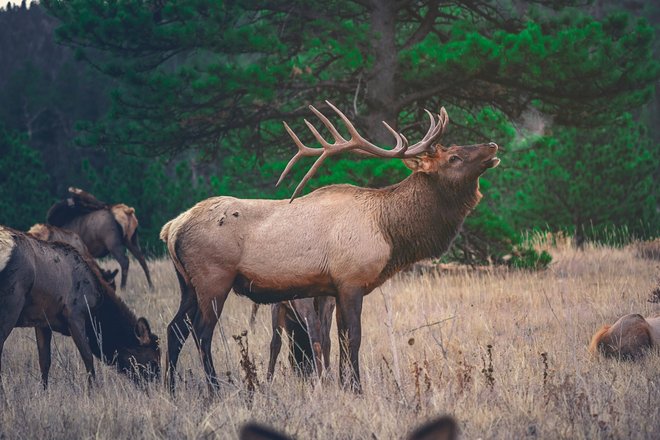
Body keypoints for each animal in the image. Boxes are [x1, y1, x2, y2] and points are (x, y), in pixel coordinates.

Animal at [0, 225, 160, 386]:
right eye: (153, 361)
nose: (157, 386)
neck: (97, 308)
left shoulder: (43, 321)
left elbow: (44, 362)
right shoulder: (75, 314)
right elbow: (88, 357)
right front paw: (93, 389)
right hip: (12, 302)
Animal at [161, 102, 500, 392]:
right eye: (453, 157)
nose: (492, 146)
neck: (389, 231)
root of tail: (172, 228)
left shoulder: (332, 288)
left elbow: (336, 339)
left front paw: (343, 385)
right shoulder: (351, 280)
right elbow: (354, 338)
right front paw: (358, 389)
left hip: (187, 284)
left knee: (174, 329)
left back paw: (170, 387)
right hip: (214, 278)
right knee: (201, 333)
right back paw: (214, 389)